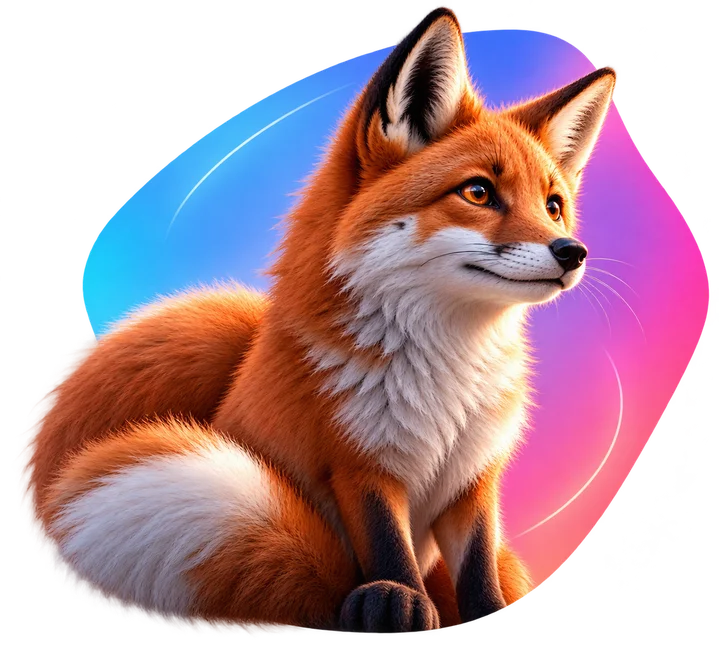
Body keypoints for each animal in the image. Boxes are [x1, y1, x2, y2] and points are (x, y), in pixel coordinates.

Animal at [17, 6, 619, 635]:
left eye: (553, 205)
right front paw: (396, 600)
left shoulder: (473, 479)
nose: (573, 252)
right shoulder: (356, 465)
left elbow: (477, 566)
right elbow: (387, 546)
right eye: (478, 192)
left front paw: (489, 613)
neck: (445, 381)